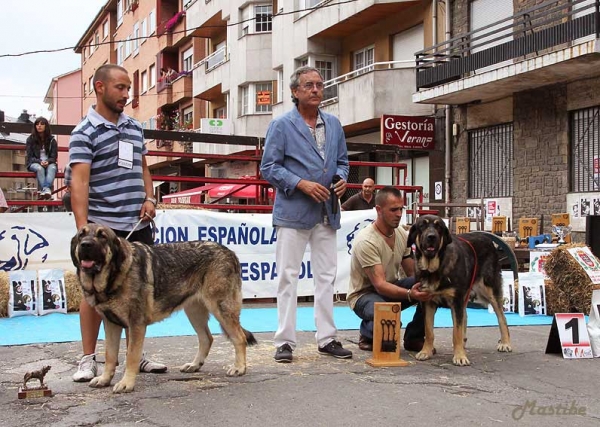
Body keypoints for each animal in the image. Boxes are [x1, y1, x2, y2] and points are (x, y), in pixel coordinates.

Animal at [71, 224, 256, 394]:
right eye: (81, 236)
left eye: (102, 236)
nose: (86, 245)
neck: (114, 276)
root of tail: (229, 252)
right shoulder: (111, 324)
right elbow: (110, 356)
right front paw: (104, 379)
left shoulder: (136, 324)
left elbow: (131, 356)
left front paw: (126, 383)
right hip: (194, 312)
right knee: (207, 338)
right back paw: (194, 365)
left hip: (220, 308)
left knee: (239, 337)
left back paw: (239, 368)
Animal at [406, 216, 512, 366]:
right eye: (422, 226)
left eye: (438, 227)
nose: (431, 237)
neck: (435, 268)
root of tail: (486, 237)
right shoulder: (427, 302)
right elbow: (429, 331)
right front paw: (425, 351)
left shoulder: (456, 301)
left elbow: (456, 331)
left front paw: (460, 356)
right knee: (466, 316)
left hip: (489, 289)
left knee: (502, 317)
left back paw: (505, 343)